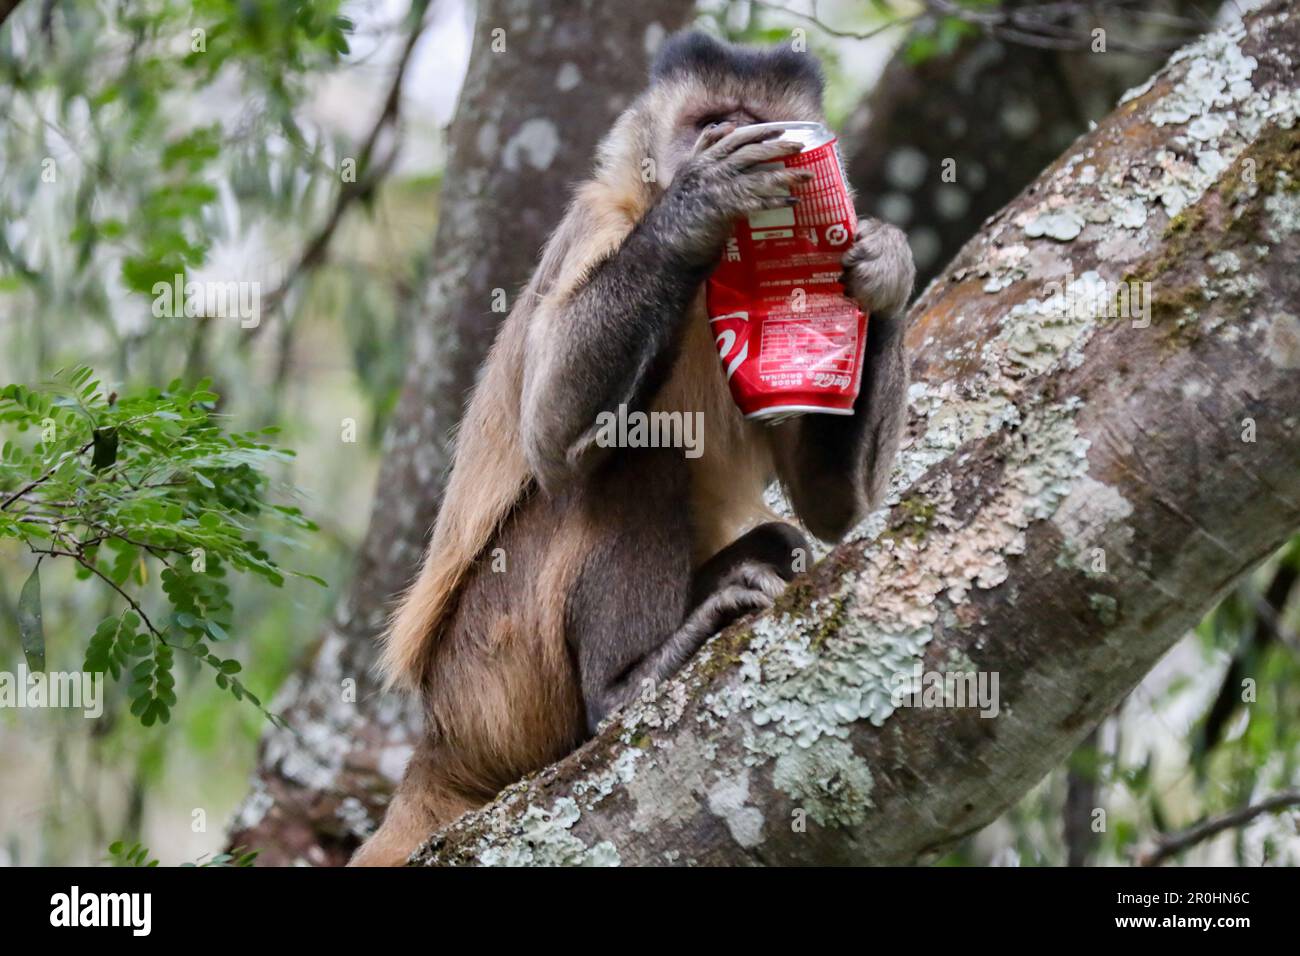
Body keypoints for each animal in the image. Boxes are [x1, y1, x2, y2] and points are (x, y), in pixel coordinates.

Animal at [345, 29, 915, 868]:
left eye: (754, 120)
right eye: (711, 121)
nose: (725, 139)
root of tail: (436, 738)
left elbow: (834, 508)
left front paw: (884, 267)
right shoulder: (598, 223)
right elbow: (551, 434)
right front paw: (701, 203)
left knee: (777, 533)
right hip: (493, 672)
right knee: (635, 451)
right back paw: (623, 686)